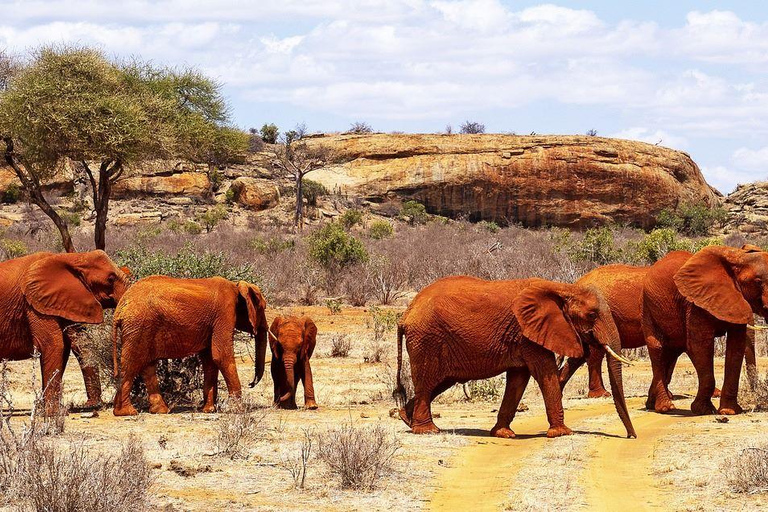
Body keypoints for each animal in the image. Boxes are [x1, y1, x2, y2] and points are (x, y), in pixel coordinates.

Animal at [0, 250, 129, 414]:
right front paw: (53, 413)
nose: (91, 405)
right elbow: (53, 345)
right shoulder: (34, 303)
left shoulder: (63, 300)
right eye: (110, 278)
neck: (72, 257)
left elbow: (78, 343)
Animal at [111, 276, 268, 416]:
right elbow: (221, 355)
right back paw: (127, 412)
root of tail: (120, 308)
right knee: (132, 364)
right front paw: (239, 410)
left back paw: (160, 411)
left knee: (147, 366)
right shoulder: (224, 313)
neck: (236, 286)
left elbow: (210, 360)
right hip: (139, 325)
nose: (251, 384)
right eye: (263, 308)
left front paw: (208, 410)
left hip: (141, 328)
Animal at [396, 276, 636, 440]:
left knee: (439, 382)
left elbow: (518, 380)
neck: (562, 288)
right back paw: (427, 430)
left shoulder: (524, 336)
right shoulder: (527, 332)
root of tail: (406, 314)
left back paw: (406, 418)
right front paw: (563, 433)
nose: (631, 436)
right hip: (427, 339)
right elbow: (545, 373)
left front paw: (503, 434)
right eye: (592, 315)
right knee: (427, 382)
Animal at [640, 245, 768, 416]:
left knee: (670, 352)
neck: (737, 256)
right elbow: (699, 345)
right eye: (758, 282)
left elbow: (736, 346)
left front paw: (729, 412)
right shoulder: (695, 304)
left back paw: (651, 405)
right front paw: (703, 410)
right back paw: (665, 408)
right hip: (647, 307)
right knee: (657, 349)